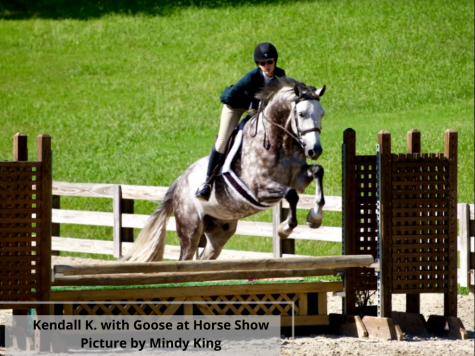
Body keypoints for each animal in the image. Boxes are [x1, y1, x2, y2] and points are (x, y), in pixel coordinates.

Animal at [122, 78, 326, 262]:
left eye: (322, 114)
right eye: (301, 114)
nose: (314, 150)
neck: (280, 141)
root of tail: (180, 181)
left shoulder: (298, 179)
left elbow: (317, 171)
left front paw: (315, 217)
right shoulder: (259, 188)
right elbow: (291, 194)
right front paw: (285, 228)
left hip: (219, 231)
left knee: (204, 257)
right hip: (190, 229)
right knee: (185, 257)